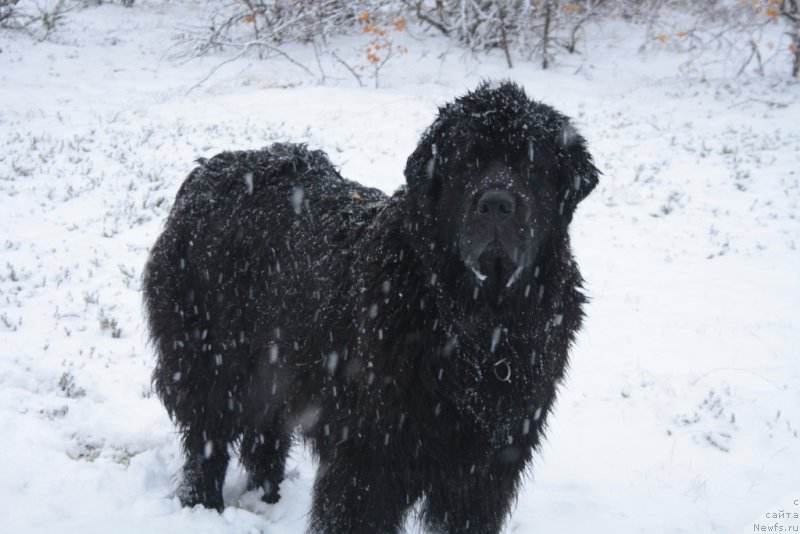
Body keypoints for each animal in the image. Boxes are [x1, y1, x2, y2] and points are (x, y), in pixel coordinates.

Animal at [144, 80, 596, 534]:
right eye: (468, 164)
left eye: (532, 168)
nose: (497, 203)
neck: (478, 325)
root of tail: (210, 169)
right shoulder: (371, 451)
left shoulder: (487, 464)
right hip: (206, 353)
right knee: (208, 437)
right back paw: (202, 504)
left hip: (273, 360)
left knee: (264, 437)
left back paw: (269, 498)